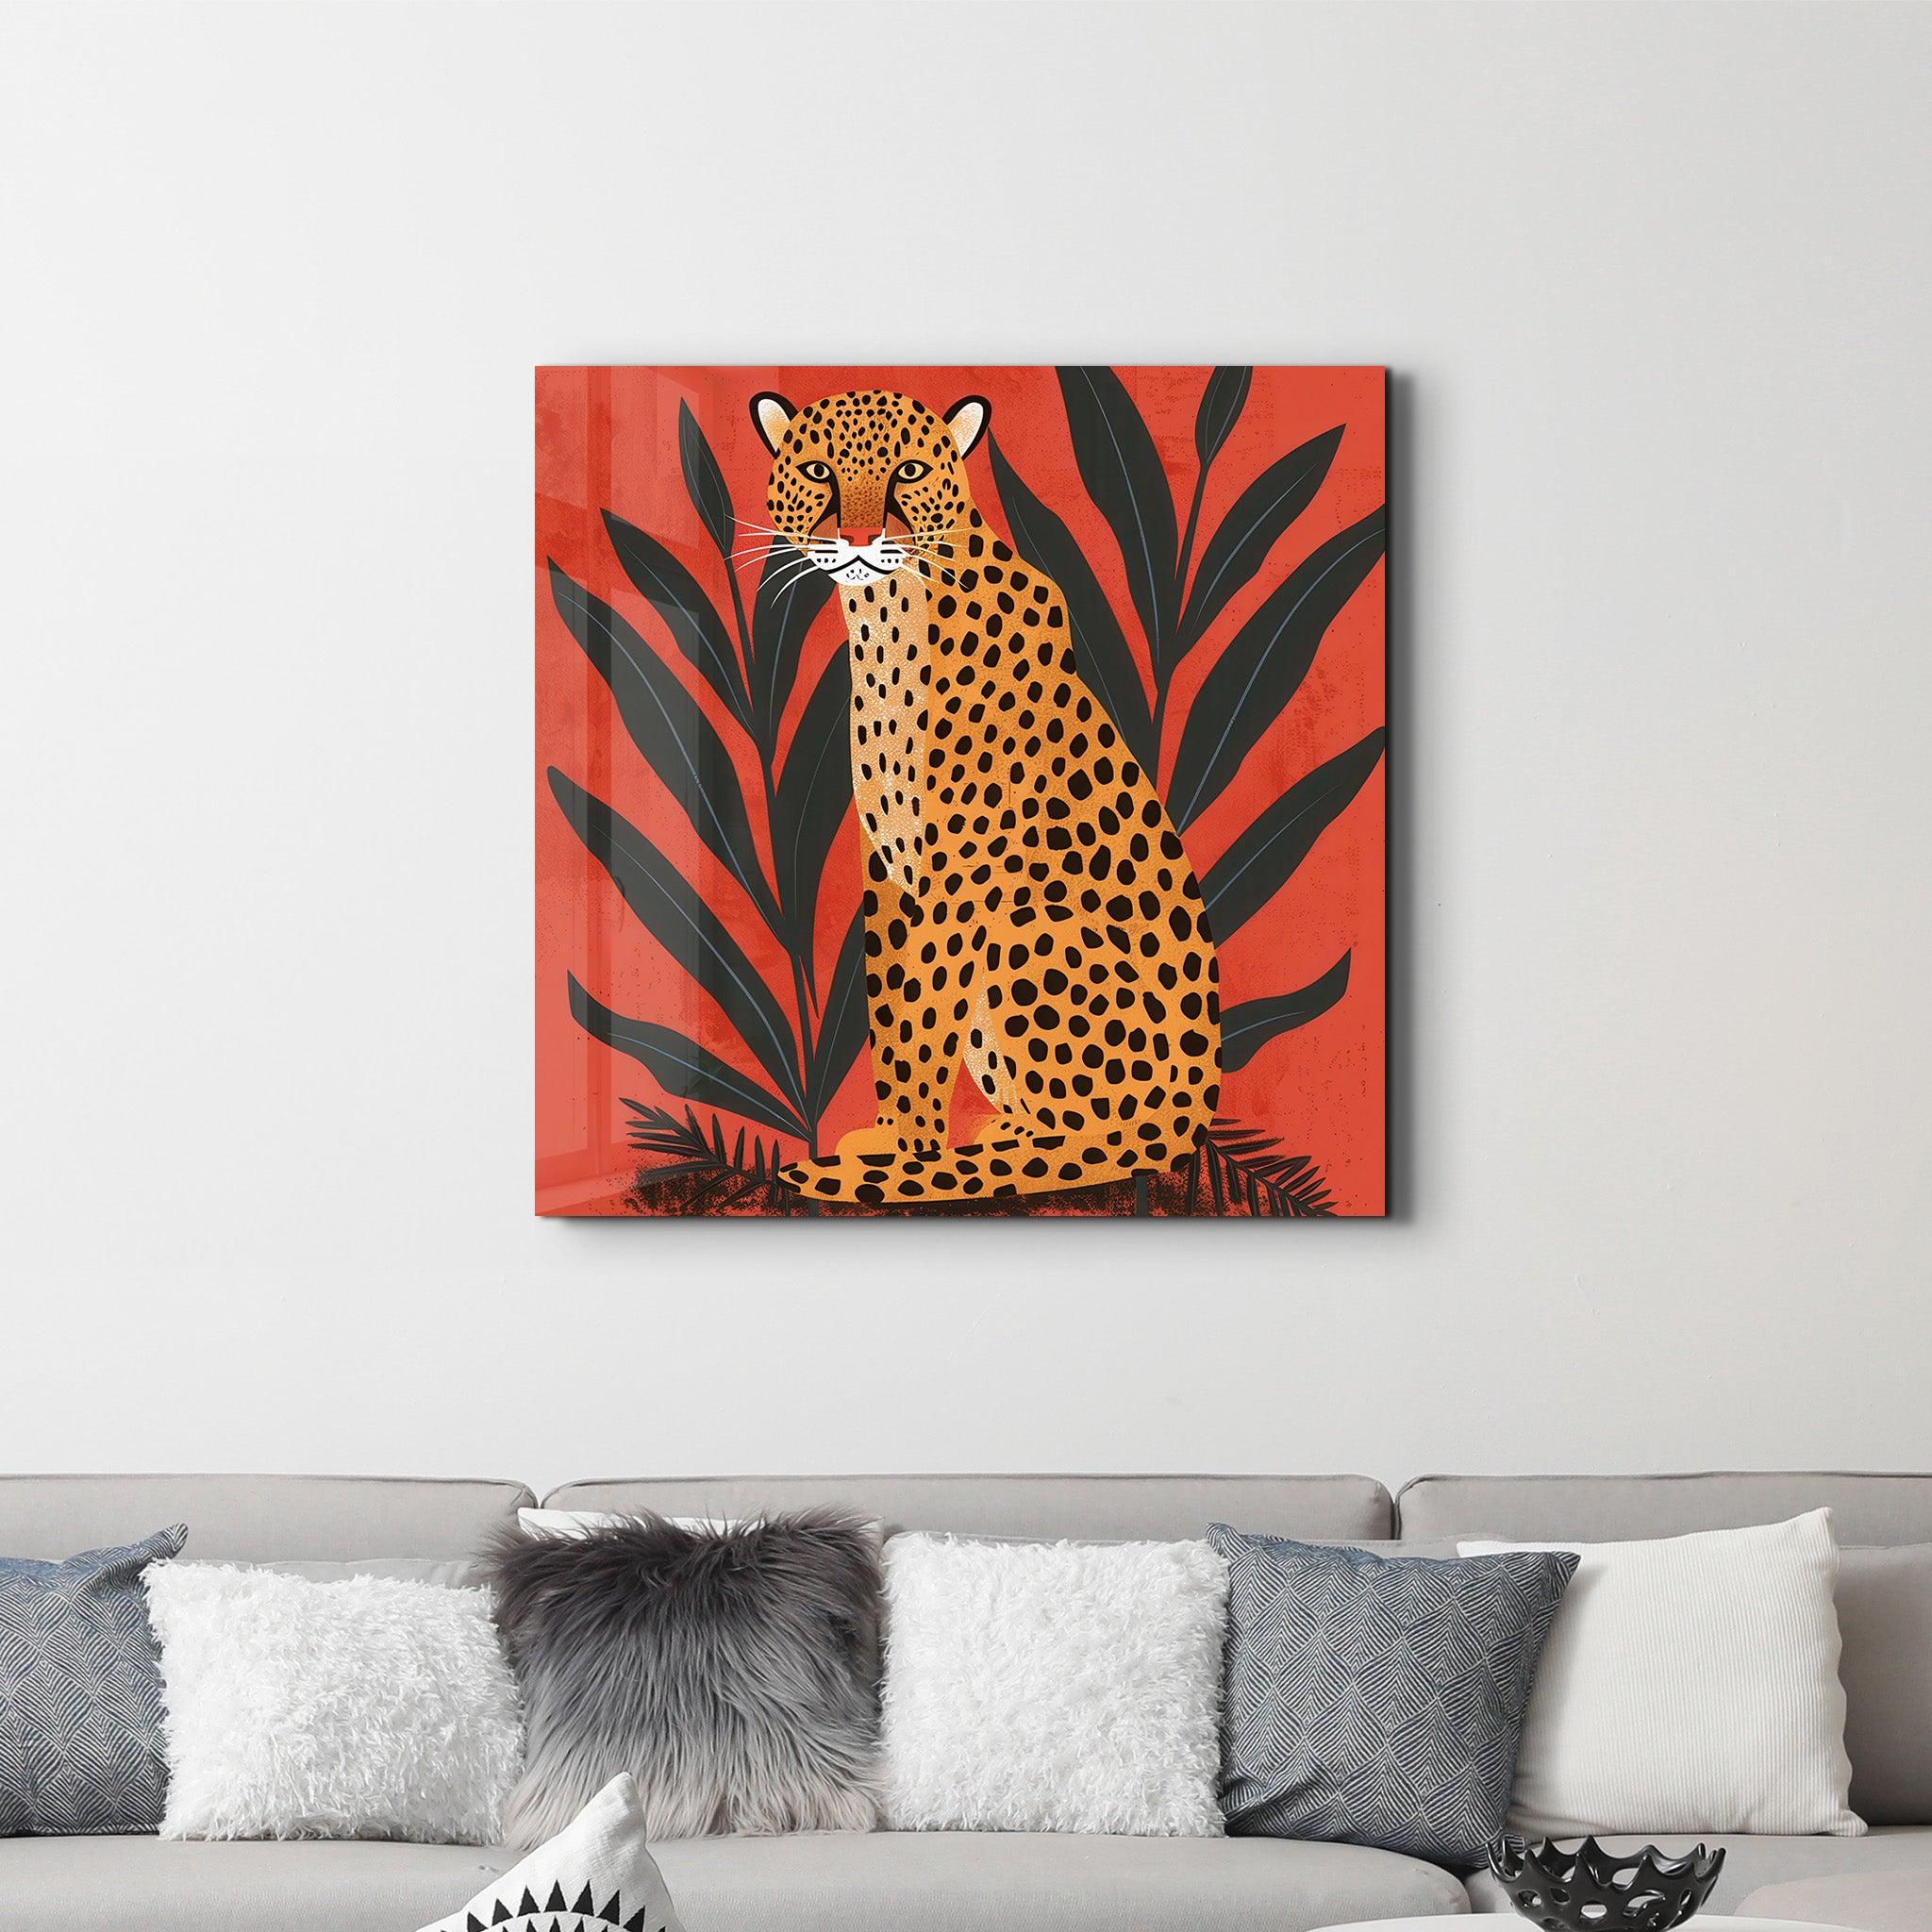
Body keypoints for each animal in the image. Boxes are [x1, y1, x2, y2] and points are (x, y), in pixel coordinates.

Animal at [750, 386, 1220, 1205]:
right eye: (817, 470)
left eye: (908, 470)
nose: (859, 537)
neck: (890, 610)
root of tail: (1194, 1109)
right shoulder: (890, 869)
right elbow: (891, 1005)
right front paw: (895, 1139)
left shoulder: (959, 878)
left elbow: (923, 1008)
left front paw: (912, 1154)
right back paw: (1003, 1139)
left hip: (1029, 924)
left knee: (1105, 1141)